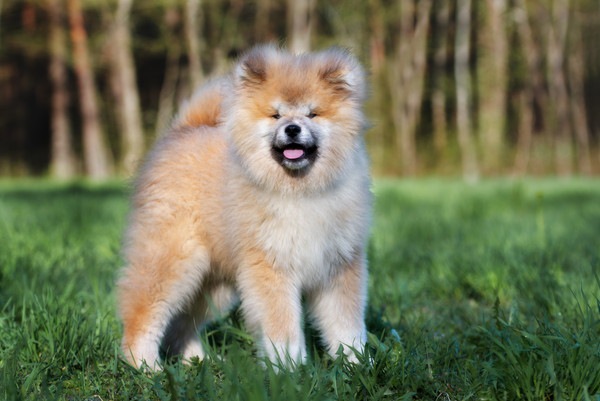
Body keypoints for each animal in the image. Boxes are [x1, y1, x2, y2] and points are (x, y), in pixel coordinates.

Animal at [116, 45, 370, 368]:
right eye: (275, 115)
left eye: (312, 113)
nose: (292, 128)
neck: (300, 191)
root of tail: (185, 130)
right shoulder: (271, 267)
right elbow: (282, 326)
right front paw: (290, 368)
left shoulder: (339, 267)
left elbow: (346, 325)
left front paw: (357, 364)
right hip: (172, 261)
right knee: (143, 313)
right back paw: (145, 366)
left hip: (214, 284)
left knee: (181, 324)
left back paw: (198, 361)